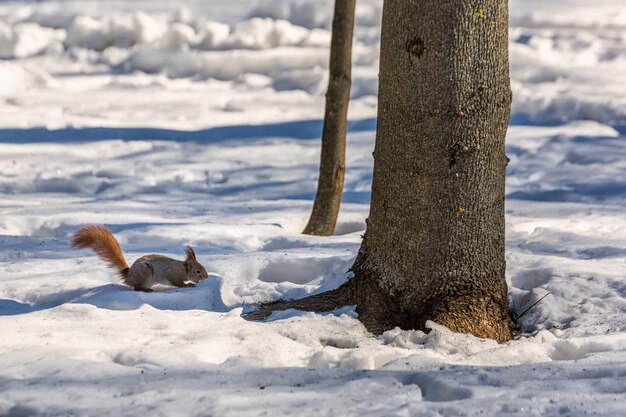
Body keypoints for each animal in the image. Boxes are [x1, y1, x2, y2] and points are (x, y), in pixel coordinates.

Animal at [70, 226, 207, 290]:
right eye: (198, 271)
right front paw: (188, 285)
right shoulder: (172, 274)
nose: (206, 277)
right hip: (144, 271)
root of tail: (129, 275)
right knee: (136, 288)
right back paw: (145, 290)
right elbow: (177, 283)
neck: (183, 269)